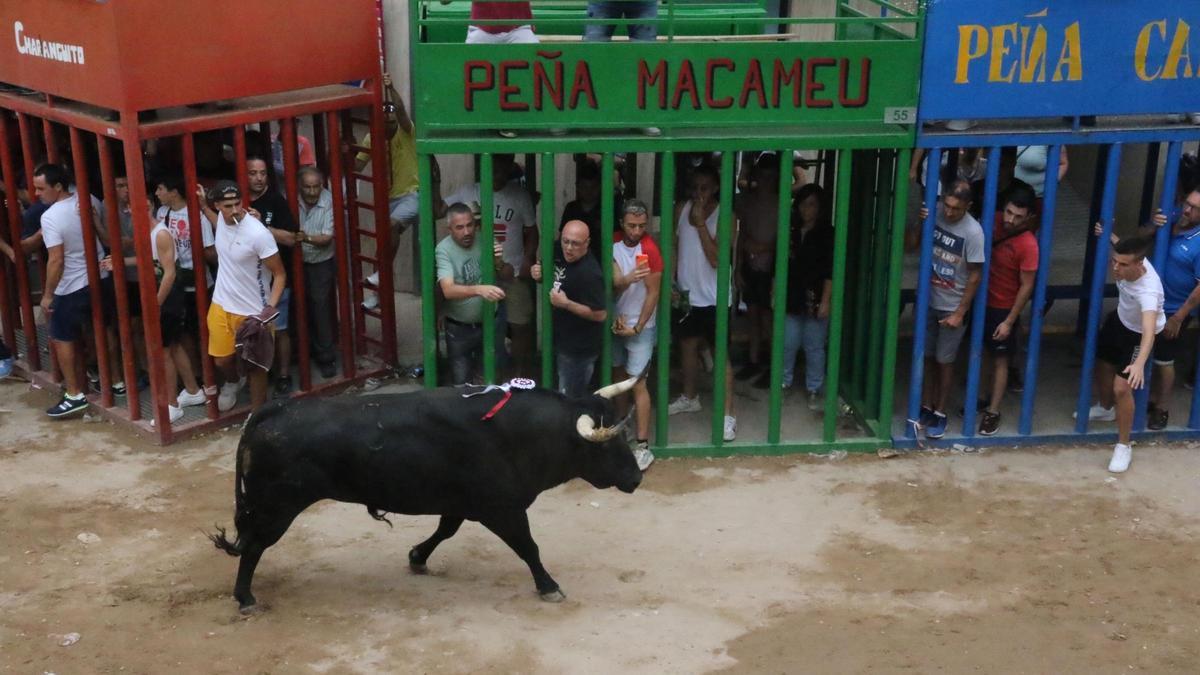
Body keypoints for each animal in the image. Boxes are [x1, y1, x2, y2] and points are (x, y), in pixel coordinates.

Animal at [211, 379, 643, 610]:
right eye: (607, 444)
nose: (636, 478)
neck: (519, 434)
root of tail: (274, 410)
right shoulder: (503, 510)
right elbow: (528, 547)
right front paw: (549, 586)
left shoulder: (462, 503)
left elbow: (445, 531)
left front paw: (417, 557)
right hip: (277, 508)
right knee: (254, 547)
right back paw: (245, 597)